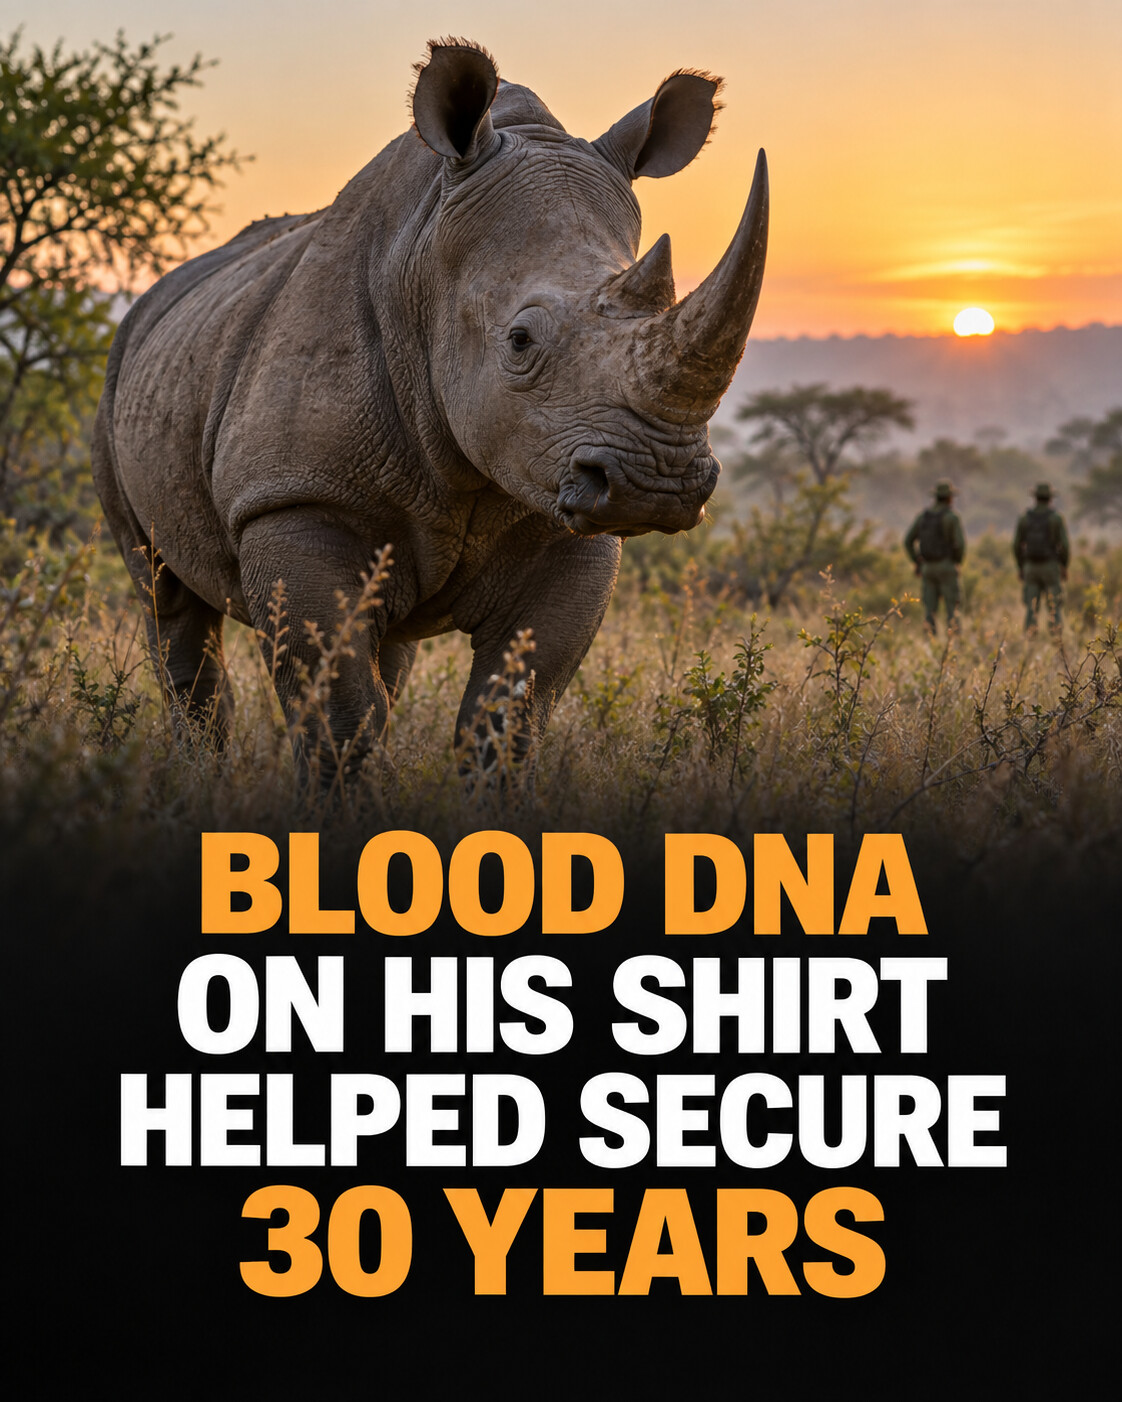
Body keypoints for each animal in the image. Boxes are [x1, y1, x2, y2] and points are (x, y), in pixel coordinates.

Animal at [93, 40, 768, 790]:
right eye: (520, 340)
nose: (657, 484)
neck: (424, 267)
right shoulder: (292, 499)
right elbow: (338, 712)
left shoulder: (563, 515)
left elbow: (511, 712)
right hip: (117, 380)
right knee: (166, 596)